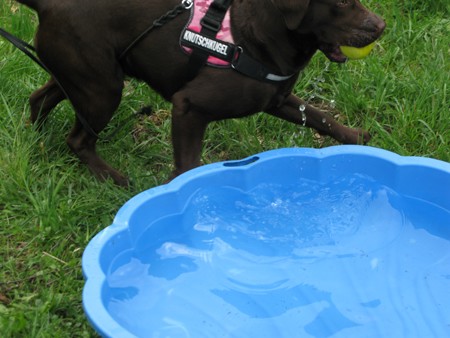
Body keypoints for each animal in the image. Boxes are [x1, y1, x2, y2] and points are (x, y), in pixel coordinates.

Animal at [15, 0, 384, 186]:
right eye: (341, 3)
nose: (380, 26)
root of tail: (48, 4)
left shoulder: (277, 99)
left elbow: (321, 117)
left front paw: (358, 137)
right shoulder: (188, 107)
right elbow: (188, 166)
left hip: (85, 77)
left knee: (40, 98)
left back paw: (39, 140)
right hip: (102, 90)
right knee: (78, 139)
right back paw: (113, 178)